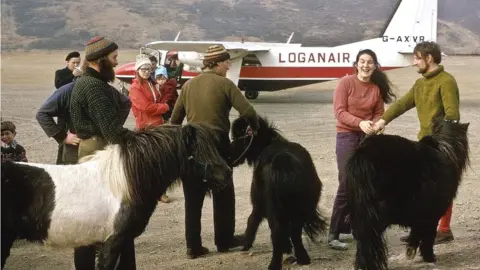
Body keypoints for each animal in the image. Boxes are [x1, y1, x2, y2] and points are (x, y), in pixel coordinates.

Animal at [229, 116, 326, 270]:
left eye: (238, 136)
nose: (228, 157)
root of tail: (283, 161)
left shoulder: (258, 204)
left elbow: (252, 221)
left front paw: (246, 245)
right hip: (297, 207)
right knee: (294, 230)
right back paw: (303, 258)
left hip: (273, 207)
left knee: (277, 231)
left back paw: (275, 263)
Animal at [346, 118, 470, 270]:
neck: (446, 148)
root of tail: (363, 154)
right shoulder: (431, 213)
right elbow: (427, 237)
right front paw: (428, 257)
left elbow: (417, 232)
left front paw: (411, 250)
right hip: (377, 214)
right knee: (370, 242)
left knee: (363, 242)